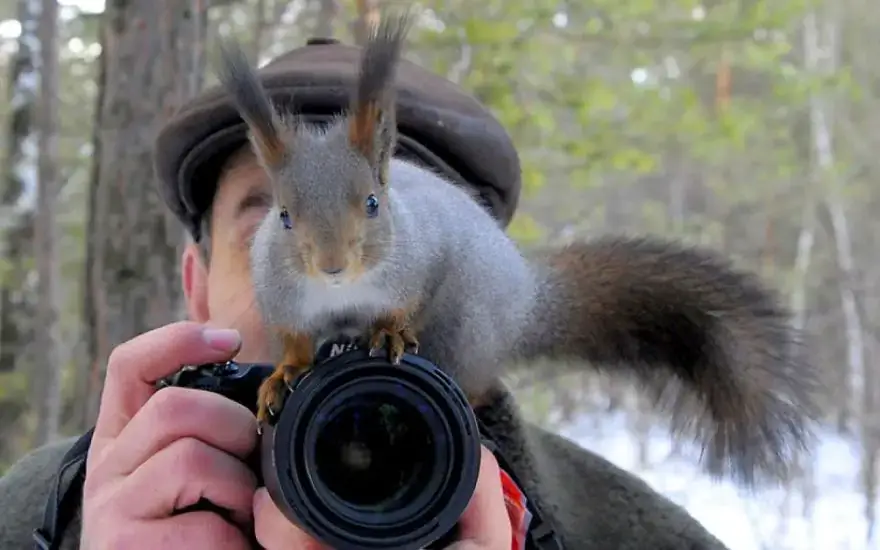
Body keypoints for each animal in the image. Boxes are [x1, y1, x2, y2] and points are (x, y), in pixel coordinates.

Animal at [217, 11, 820, 488]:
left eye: (372, 203)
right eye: (284, 215)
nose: (332, 266)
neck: (343, 295)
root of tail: (527, 299)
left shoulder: (418, 263)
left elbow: (401, 307)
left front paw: (386, 332)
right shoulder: (285, 302)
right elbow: (297, 342)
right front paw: (284, 375)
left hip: (467, 324)